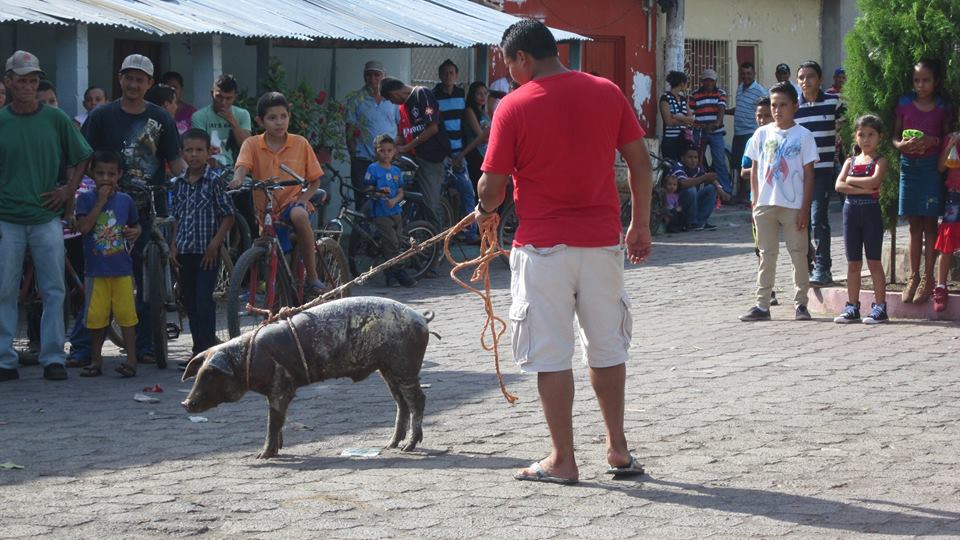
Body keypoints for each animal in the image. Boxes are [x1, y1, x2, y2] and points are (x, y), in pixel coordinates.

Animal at [182, 298, 430, 458]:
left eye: (210, 374)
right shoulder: (276, 391)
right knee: (400, 402)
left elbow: (274, 420)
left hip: (404, 366)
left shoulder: (281, 386)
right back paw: (391, 445)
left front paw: (262, 456)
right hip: (387, 368)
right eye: (199, 373)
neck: (245, 359)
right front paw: (276, 450)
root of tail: (422, 318)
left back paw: (408, 447)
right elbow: (279, 420)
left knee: (418, 400)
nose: (185, 403)